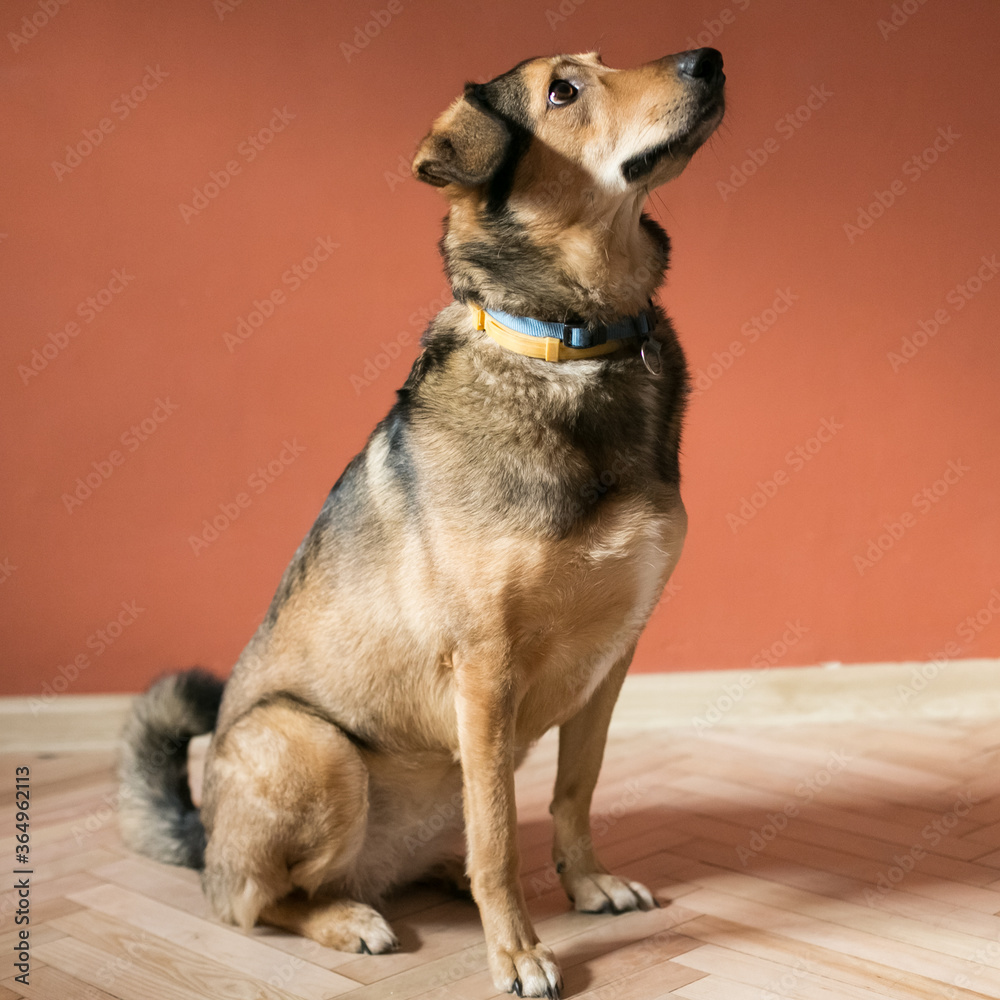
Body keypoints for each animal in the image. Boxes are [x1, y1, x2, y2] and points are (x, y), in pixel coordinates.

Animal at [119, 46, 724, 998]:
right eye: (563, 90)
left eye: (601, 64)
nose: (710, 60)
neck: (573, 343)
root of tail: (207, 840)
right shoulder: (485, 665)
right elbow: (499, 836)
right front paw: (517, 953)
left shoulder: (612, 658)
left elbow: (572, 792)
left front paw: (587, 885)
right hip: (309, 746)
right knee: (261, 903)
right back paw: (351, 918)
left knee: (433, 846)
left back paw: (432, 878)